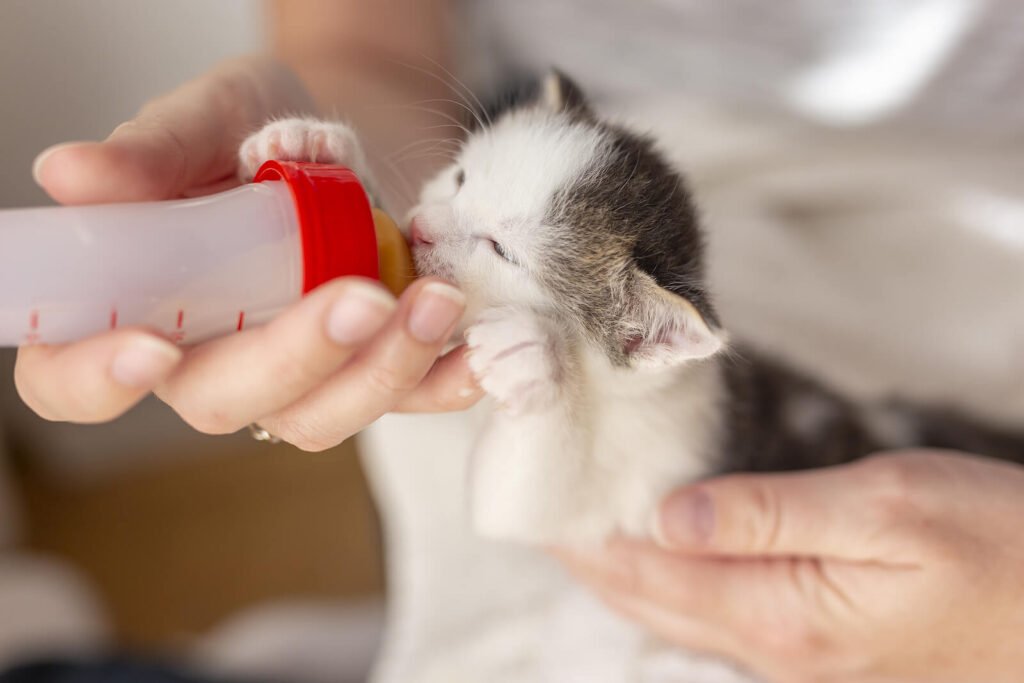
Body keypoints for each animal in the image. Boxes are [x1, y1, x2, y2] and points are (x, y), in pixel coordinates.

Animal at [241, 69, 1024, 548]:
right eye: (459, 178)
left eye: (502, 251)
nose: (425, 228)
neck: (613, 390)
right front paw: (315, 144)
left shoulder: (648, 473)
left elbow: (516, 499)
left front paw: (533, 358)